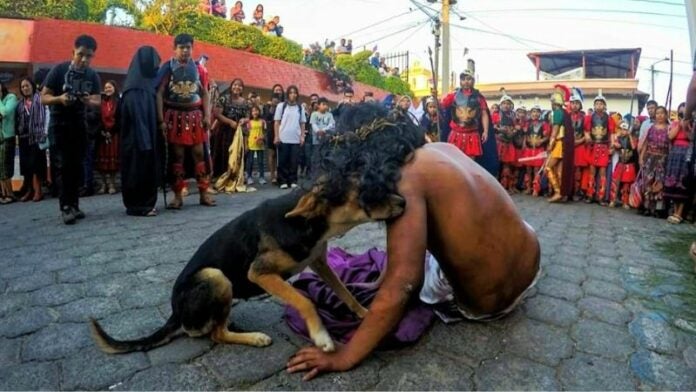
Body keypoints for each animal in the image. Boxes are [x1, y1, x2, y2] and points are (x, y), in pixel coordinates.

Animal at [89, 186, 406, 352]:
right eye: (366, 193)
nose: (404, 201)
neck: (305, 223)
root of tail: (175, 313)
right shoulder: (260, 273)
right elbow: (304, 300)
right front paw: (322, 337)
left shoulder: (318, 261)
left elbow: (344, 291)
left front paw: (364, 313)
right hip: (216, 277)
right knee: (214, 334)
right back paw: (253, 337)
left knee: (215, 327)